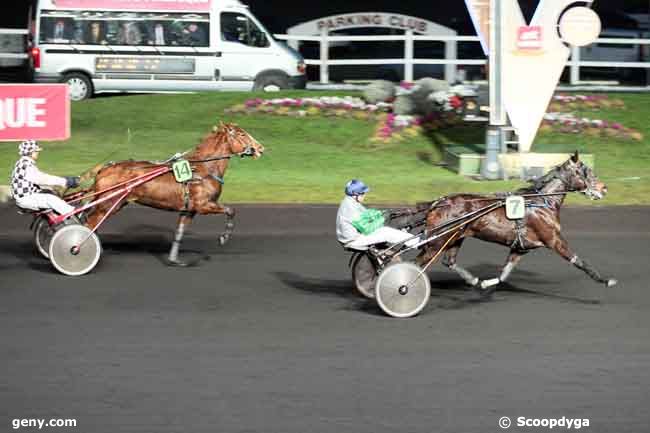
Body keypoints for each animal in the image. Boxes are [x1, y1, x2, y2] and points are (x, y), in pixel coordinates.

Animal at [84, 120, 264, 264]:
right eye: (241, 133)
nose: (261, 148)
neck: (204, 169)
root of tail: (104, 169)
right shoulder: (204, 205)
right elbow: (230, 210)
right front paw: (223, 238)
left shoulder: (189, 210)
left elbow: (179, 232)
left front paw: (174, 259)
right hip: (109, 204)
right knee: (90, 222)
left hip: (115, 202)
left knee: (89, 220)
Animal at [412, 152, 616, 294]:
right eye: (588, 171)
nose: (604, 188)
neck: (542, 202)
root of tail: (438, 203)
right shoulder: (554, 240)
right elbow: (579, 262)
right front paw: (606, 280)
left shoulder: (520, 248)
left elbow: (504, 274)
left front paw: (484, 283)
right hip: (437, 242)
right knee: (417, 263)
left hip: (455, 238)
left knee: (449, 261)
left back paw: (472, 280)